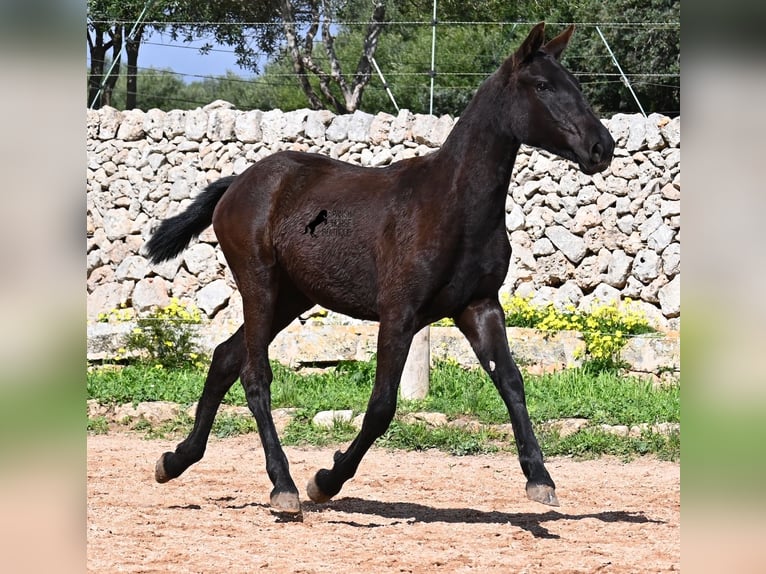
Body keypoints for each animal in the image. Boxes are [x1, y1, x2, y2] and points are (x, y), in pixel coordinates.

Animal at [144, 22, 616, 520]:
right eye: (542, 86)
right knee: (255, 376)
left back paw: (174, 460)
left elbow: (512, 382)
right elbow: (382, 406)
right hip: (260, 285)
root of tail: (239, 183)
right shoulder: (399, 314)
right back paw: (283, 486)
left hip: (292, 296)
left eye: (576, 84)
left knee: (224, 358)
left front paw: (540, 479)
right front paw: (325, 481)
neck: (452, 206)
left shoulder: (479, 307)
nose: (602, 147)